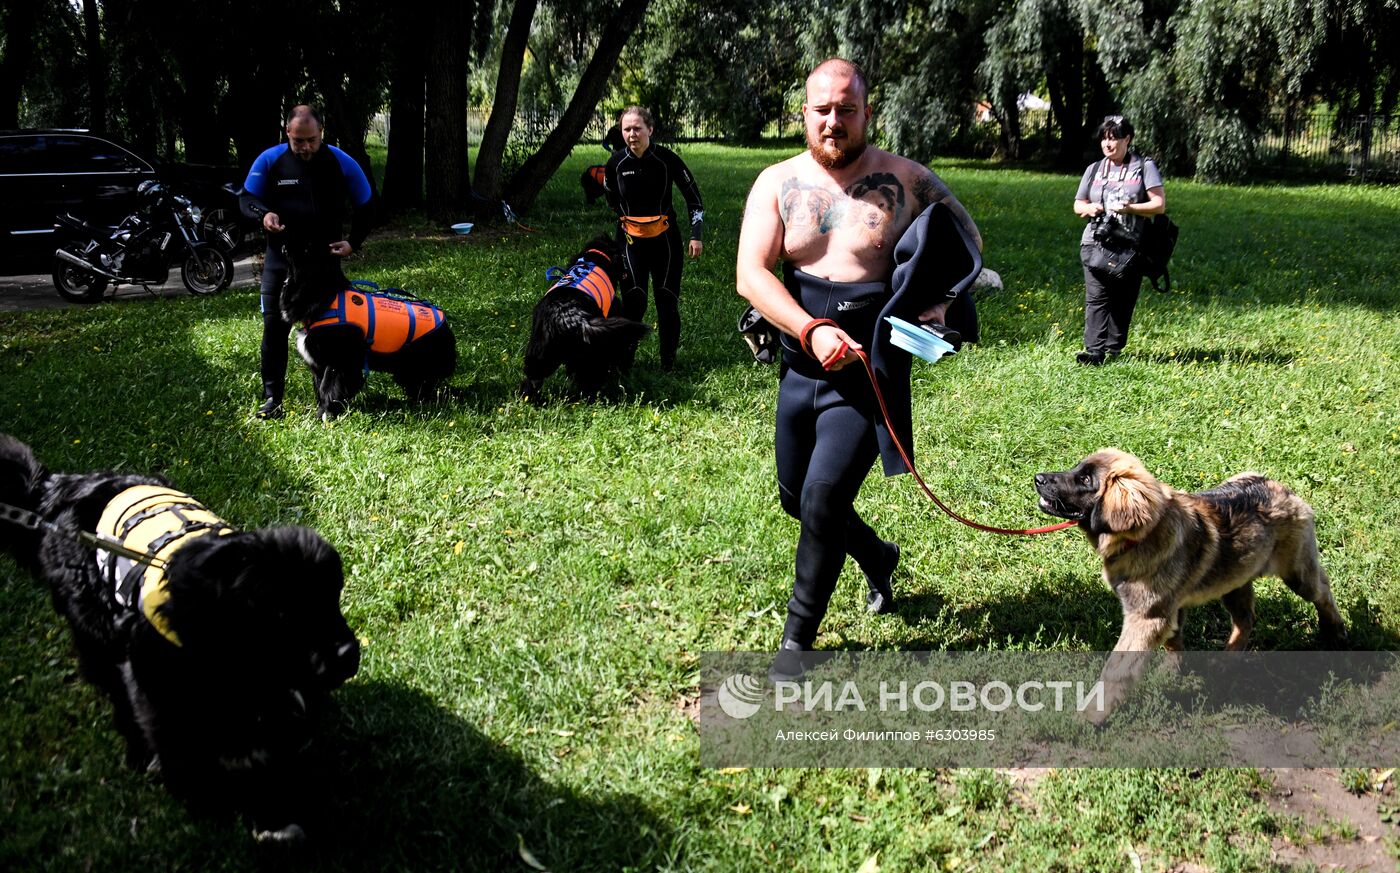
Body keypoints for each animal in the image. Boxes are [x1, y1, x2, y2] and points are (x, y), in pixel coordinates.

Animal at [2, 433, 361, 845]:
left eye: (333, 601)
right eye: (286, 614)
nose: (349, 653)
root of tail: (65, 486)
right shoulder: (158, 684)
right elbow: (183, 744)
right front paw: (209, 800)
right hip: (94, 625)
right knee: (109, 680)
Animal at [278, 240, 459, 422]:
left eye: (307, 247)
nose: (283, 244)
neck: (325, 298)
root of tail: (446, 327)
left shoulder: (340, 362)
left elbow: (328, 389)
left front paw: (325, 415)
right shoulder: (319, 362)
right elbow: (320, 387)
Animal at [520, 236, 649, 402]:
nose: (626, 271)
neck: (595, 256)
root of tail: (569, 317)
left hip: (540, 353)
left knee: (532, 380)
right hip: (592, 351)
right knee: (590, 378)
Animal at [1036, 450, 1349, 721]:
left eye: (1085, 480)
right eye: (1076, 468)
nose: (1038, 478)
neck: (1141, 537)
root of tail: (1277, 486)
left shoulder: (1146, 617)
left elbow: (1117, 669)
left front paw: (1093, 714)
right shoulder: (1170, 608)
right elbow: (1174, 640)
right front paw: (1173, 671)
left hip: (1296, 572)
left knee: (1322, 589)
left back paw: (1335, 631)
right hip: (1233, 580)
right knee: (1246, 619)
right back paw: (1227, 659)